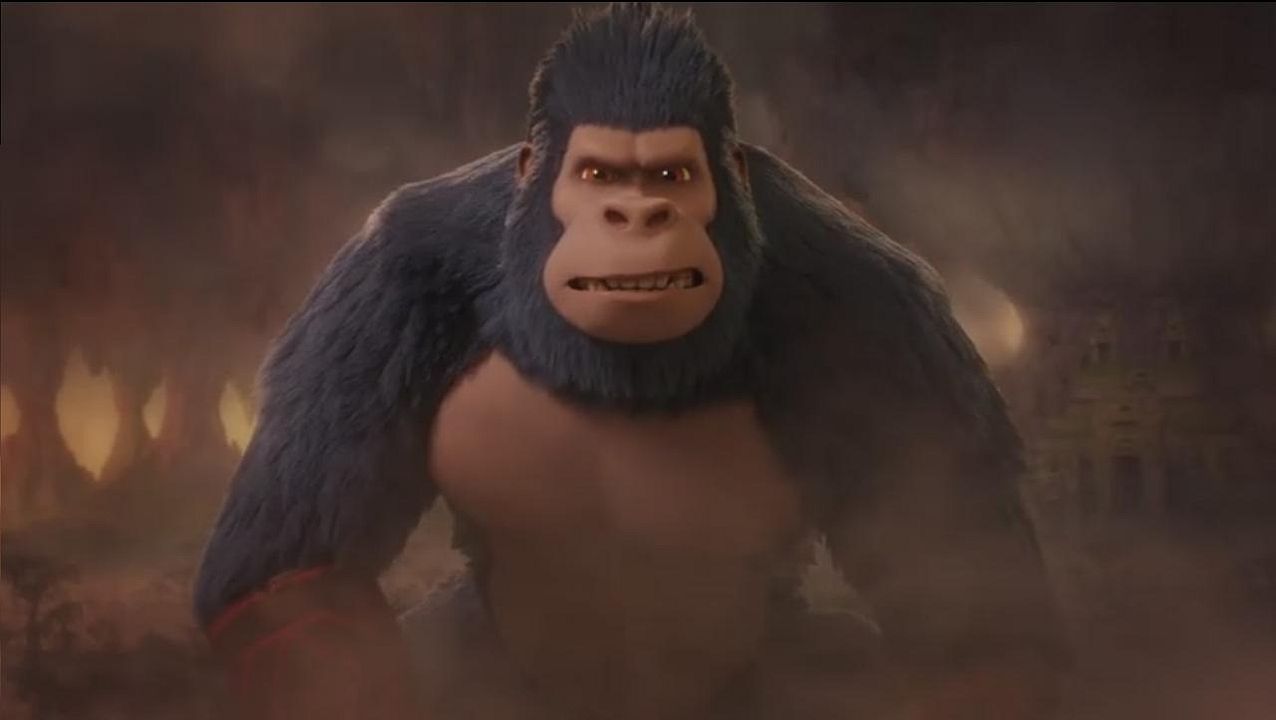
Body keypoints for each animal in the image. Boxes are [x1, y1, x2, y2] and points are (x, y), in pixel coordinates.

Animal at [193, 4, 1069, 719]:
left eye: (671, 176)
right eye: (600, 175)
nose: (640, 215)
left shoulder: (872, 311)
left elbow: (962, 599)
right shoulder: (388, 280)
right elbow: (292, 578)